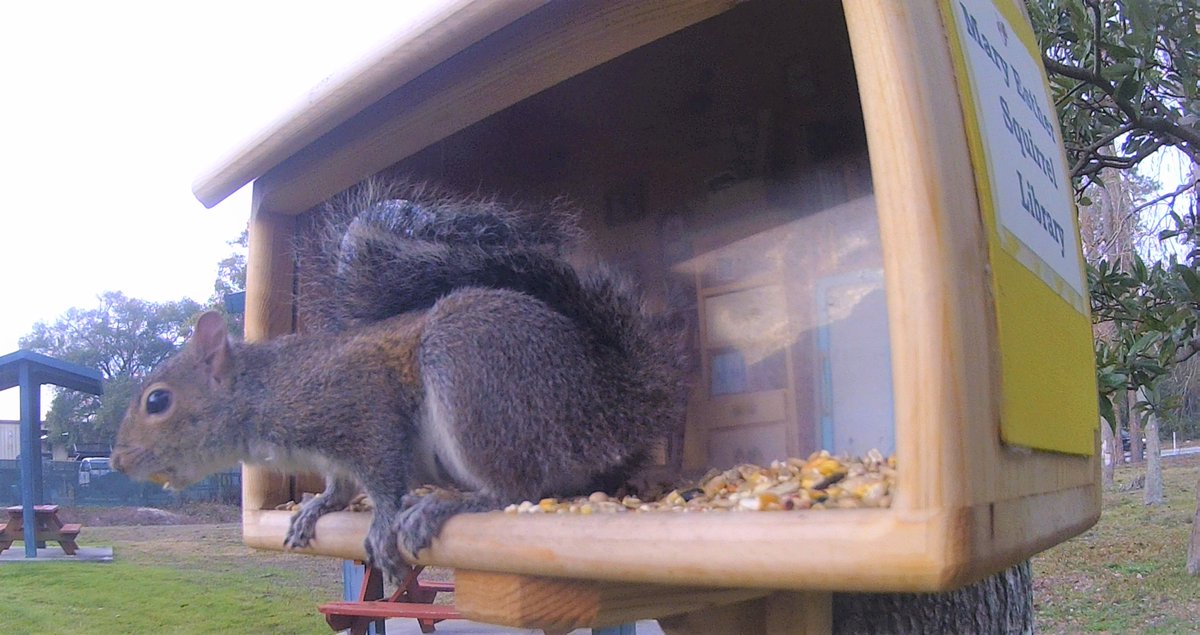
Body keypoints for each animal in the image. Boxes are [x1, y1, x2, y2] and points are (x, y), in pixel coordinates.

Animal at [112, 179, 687, 581]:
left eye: (157, 401)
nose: (117, 461)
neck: (264, 391)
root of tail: (613, 403)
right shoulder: (331, 456)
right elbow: (341, 485)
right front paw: (318, 507)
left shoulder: (357, 408)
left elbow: (383, 473)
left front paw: (383, 522)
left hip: (474, 370)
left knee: (515, 487)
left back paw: (445, 503)